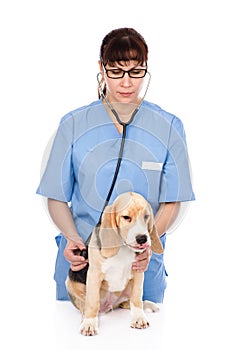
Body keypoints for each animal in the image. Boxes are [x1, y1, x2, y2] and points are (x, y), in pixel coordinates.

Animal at [65, 191, 164, 336]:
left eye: (146, 216)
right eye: (126, 217)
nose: (142, 239)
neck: (123, 247)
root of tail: (108, 306)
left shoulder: (138, 273)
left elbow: (136, 298)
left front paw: (139, 318)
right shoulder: (94, 274)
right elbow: (92, 302)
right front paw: (89, 324)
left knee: (128, 302)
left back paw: (147, 305)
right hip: (70, 283)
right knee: (86, 305)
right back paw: (86, 318)